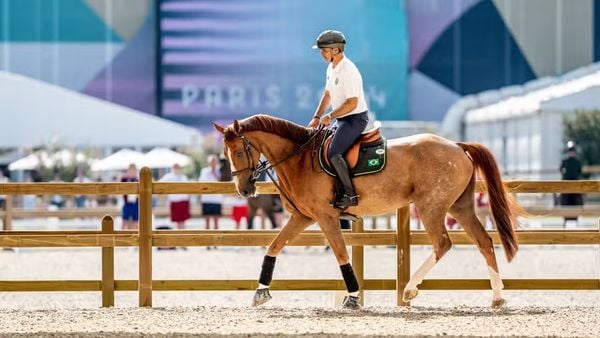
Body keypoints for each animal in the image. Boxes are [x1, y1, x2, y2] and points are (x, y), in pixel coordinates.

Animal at [213, 114, 524, 308]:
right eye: (226, 154)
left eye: (239, 152)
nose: (244, 190)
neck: (299, 158)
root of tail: (458, 146)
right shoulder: (303, 217)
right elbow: (273, 247)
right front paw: (260, 292)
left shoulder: (326, 217)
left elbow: (341, 254)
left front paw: (352, 297)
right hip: (460, 206)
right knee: (484, 241)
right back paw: (497, 298)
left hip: (431, 207)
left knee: (443, 243)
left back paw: (409, 289)